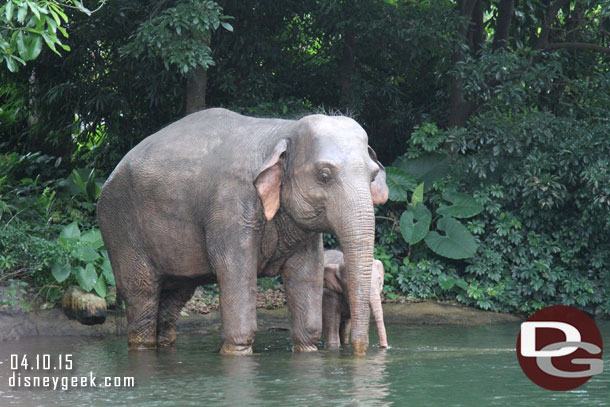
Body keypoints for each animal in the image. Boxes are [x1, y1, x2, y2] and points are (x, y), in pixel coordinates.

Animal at [97, 108, 388, 356]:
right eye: (324, 175)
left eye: (373, 175)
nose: (362, 352)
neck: (284, 131)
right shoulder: (231, 206)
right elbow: (234, 269)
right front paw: (238, 352)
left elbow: (307, 272)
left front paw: (308, 350)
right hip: (120, 226)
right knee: (142, 293)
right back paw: (142, 344)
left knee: (174, 297)